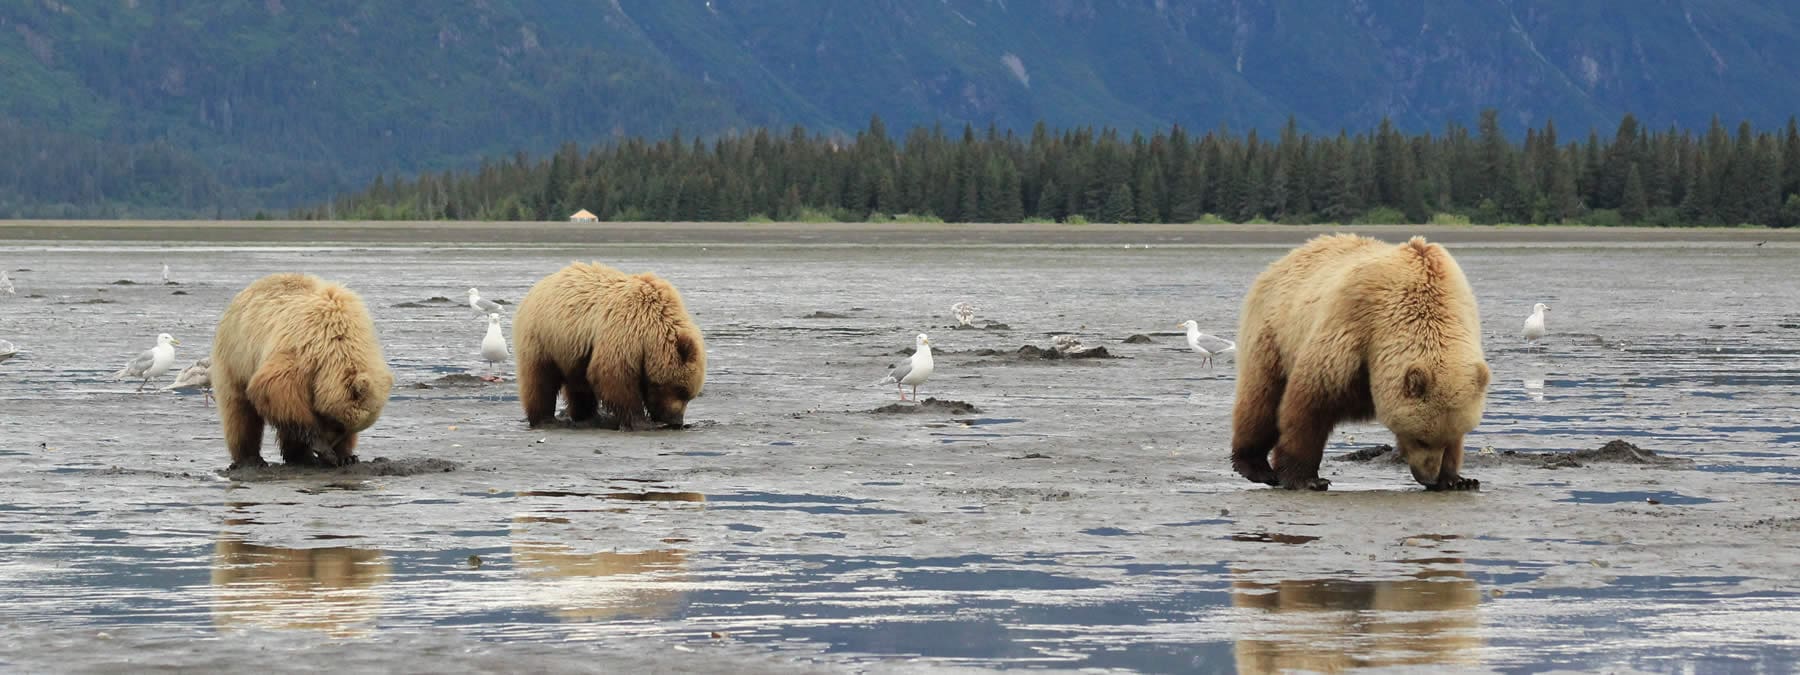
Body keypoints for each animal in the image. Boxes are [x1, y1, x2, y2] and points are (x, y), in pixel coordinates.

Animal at [212, 273, 394, 469]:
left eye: (345, 429)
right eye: (338, 424)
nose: (332, 443)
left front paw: (346, 456)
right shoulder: (305, 349)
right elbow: (275, 388)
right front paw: (323, 448)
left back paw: (300, 456)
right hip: (236, 358)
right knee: (240, 412)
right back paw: (251, 458)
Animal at [512, 262, 705, 431]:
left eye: (690, 395)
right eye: (680, 390)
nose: (676, 421)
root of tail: (538, 286)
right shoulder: (626, 331)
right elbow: (613, 375)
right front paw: (640, 422)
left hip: (573, 348)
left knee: (578, 384)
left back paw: (588, 417)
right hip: (543, 337)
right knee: (540, 378)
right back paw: (545, 419)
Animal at [1230, 234, 1491, 491]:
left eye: (1450, 438)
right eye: (1421, 439)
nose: (1430, 478)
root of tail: (1284, 259)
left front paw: (1459, 479)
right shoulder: (1351, 329)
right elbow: (1310, 404)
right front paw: (1307, 479)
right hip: (1273, 333)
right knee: (1261, 398)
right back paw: (1256, 467)